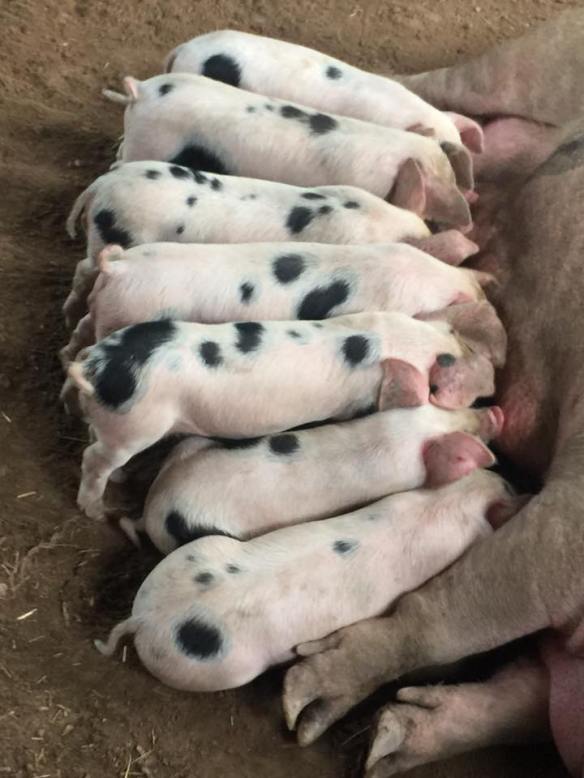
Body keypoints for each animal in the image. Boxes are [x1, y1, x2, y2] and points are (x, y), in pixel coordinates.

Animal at [67, 306, 505, 520]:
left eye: (457, 338)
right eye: (435, 386)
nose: (494, 399)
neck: (384, 339)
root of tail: (97, 366)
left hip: (117, 423)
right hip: (138, 424)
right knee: (91, 459)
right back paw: (96, 511)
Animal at [95, 469, 519, 693]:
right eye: (510, 488)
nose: (503, 475)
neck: (448, 504)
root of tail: (145, 618)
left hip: (201, 550)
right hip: (229, 668)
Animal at [280, 10, 584, 778]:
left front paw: (386, 746)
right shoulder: (572, 519)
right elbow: (462, 609)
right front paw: (306, 704)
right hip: (537, 59)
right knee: (429, 84)